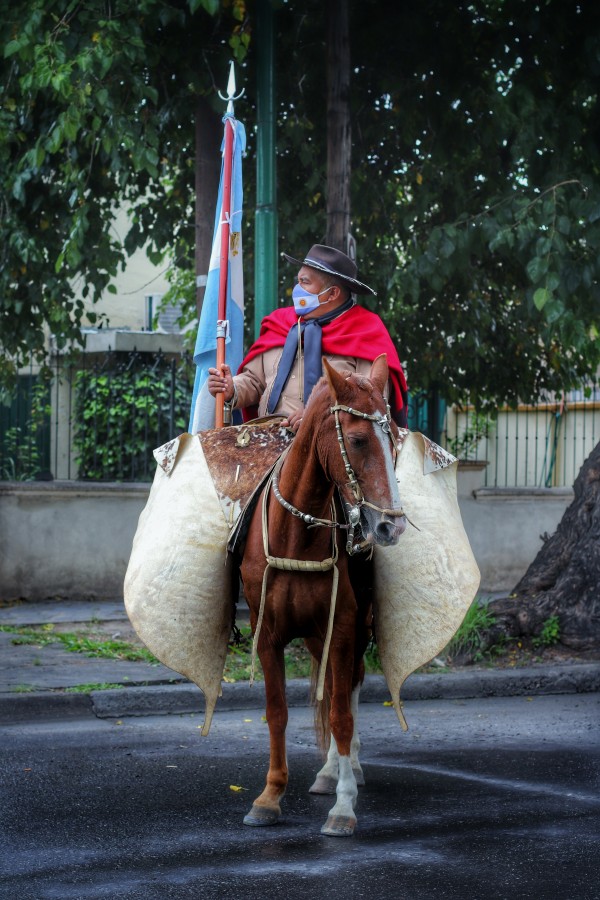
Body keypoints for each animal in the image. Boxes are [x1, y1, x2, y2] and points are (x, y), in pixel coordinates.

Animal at [240, 354, 408, 836]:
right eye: (357, 439)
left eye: (394, 439)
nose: (390, 526)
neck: (296, 534)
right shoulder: (268, 634)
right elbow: (277, 710)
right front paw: (269, 796)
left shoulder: (344, 627)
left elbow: (340, 714)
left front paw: (343, 806)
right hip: (317, 636)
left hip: (347, 632)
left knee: (346, 689)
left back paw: (343, 769)